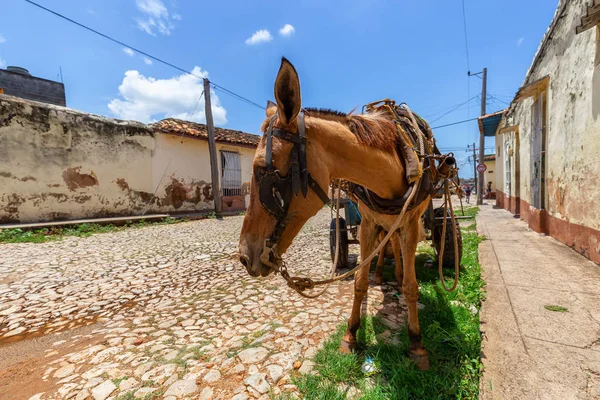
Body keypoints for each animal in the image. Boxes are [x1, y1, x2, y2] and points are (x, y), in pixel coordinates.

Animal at [239, 57, 432, 370]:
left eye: (260, 169)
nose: (244, 257)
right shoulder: (367, 224)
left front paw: (416, 344)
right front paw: (351, 334)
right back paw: (383, 273)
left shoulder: (412, 224)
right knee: (387, 244)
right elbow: (360, 281)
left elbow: (411, 286)